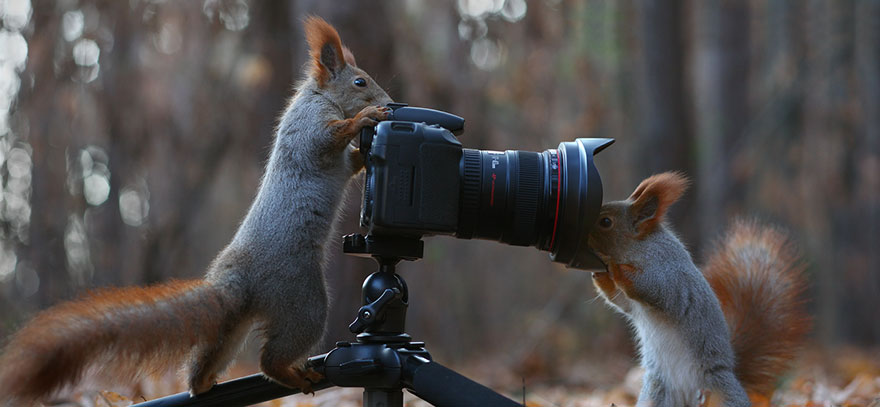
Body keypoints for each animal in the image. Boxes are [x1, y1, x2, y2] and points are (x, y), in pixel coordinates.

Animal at [0, 15, 392, 404]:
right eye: (360, 81)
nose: (389, 101)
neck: (318, 96)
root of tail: (238, 282)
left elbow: (352, 162)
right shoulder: (310, 128)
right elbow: (328, 138)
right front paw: (366, 116)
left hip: (234, 325)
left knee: (213, 353)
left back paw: (201, 383)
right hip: (304, 301)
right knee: (270, 360)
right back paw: (294, 374)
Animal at [588, 172, 808, 407]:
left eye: (606, 222)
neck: (638, 246)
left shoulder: (668, 275)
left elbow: (650, 286)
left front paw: (614, 266)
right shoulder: (631, 302)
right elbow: (619, 299)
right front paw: (601, 275)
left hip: (722, 394)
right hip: (656, 395)